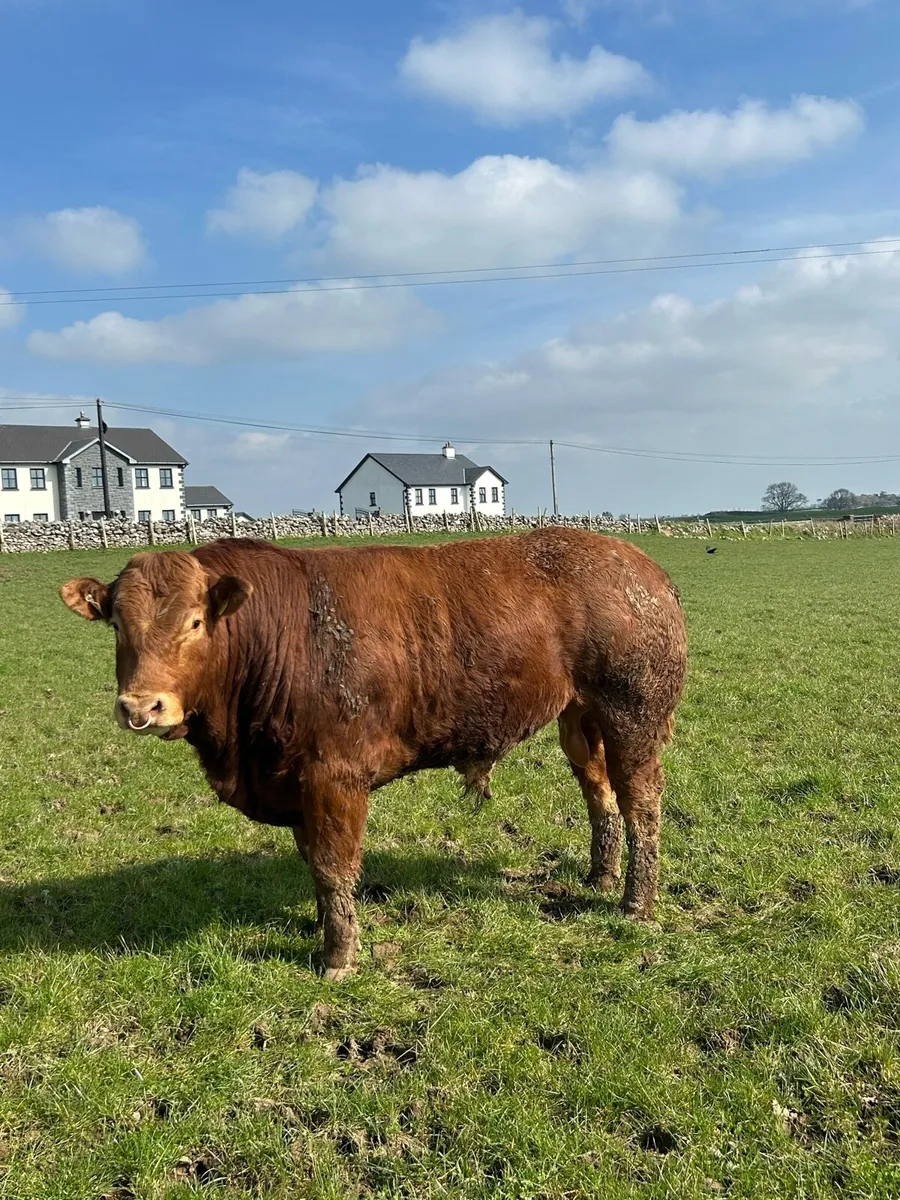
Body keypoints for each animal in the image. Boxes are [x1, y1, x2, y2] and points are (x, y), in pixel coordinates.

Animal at [60, 528, 687, 981]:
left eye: (194, 622)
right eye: (116, 624)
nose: (141, 706)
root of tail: (642, 565)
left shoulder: (333, 776)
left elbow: (334, 863)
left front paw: (339, 956)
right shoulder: (293, 777)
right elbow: (312, 860)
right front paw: (321, 926)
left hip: (634, 717)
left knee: (641, 805)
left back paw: (636, 903)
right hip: (580, 719)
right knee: (599, 793)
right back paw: (600, 876)